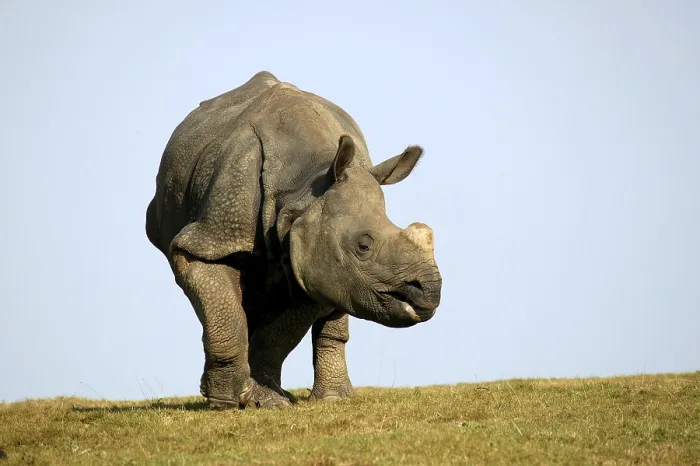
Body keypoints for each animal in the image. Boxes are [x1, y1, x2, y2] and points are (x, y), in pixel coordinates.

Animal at [145, 71, 442, 409]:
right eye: (363, 246)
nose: (429, 293)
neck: (301, 190)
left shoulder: (316, 259)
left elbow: (280, 334)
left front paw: (263, 399)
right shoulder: (214, 236)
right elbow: (226, 315)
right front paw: (228, 401)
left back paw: (332, 399)